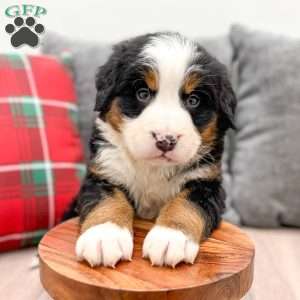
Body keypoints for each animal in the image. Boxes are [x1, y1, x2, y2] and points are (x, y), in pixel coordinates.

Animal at [73, 31, 237, 268]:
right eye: (143, 94)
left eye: (193, 100)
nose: (165, 140)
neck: (152, 169)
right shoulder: (103, 173)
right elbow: (107, 200)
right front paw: (104, 237)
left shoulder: (207, 183)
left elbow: (186, 204)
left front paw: (170, 237)